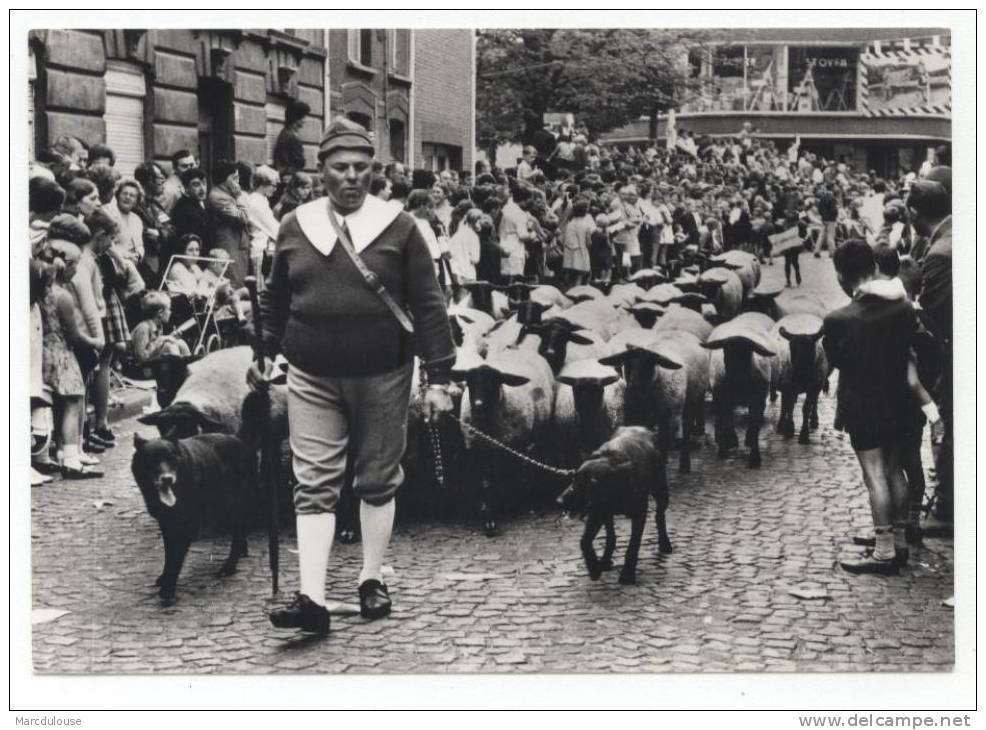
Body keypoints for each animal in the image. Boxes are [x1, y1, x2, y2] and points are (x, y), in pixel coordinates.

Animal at [133, 432, 256, 596]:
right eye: (153, 459)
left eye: (171, 458)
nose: (167, 479)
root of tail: (241, 442)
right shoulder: (166, 523)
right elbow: (168, 554)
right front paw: (165, 577)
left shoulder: (186, 526)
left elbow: (175, 558)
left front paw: (168, 589)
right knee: (240, 531)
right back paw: (241, 552)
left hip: (231, 506)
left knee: (237, 533)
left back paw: (229, 567)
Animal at [452, 346, 552, 536]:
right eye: (469, 384)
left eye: (493, 383)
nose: (477, 405)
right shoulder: (477, 451)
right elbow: (485, 484)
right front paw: (488, 518)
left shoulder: (508, 449)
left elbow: (504, 479)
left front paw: (506, 506)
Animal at [552, 424, 668, 584]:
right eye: (573, 479)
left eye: (586, 484)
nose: (559, 501)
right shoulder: (597, 512)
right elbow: (585, 541)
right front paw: (594, 567)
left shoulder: (639, 513)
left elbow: (633, 545)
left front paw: (627, 574)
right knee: (611, 536)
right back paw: (605, 560)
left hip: (661, 491)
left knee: (659, 516)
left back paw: (665, 543)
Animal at [700, 312, 776, 466]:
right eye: (726, 352)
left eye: (746, 353)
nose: (733, 374)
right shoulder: (722, 397)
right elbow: (726, 421)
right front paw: (726, 447)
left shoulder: (758, 400)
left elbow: (754, 427)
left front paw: (754, 456)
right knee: (721, 419)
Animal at [764, 312, 828, 444]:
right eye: (792, 348)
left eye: (810, 349)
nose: (799, 368)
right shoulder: (788, 385)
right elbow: (788, 406)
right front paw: (789, 429)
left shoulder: (813, 387)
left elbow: (806, 408)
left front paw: (804, 435)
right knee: (785, 404)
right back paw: (781, 425)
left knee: (814, 401)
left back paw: (814, 421)